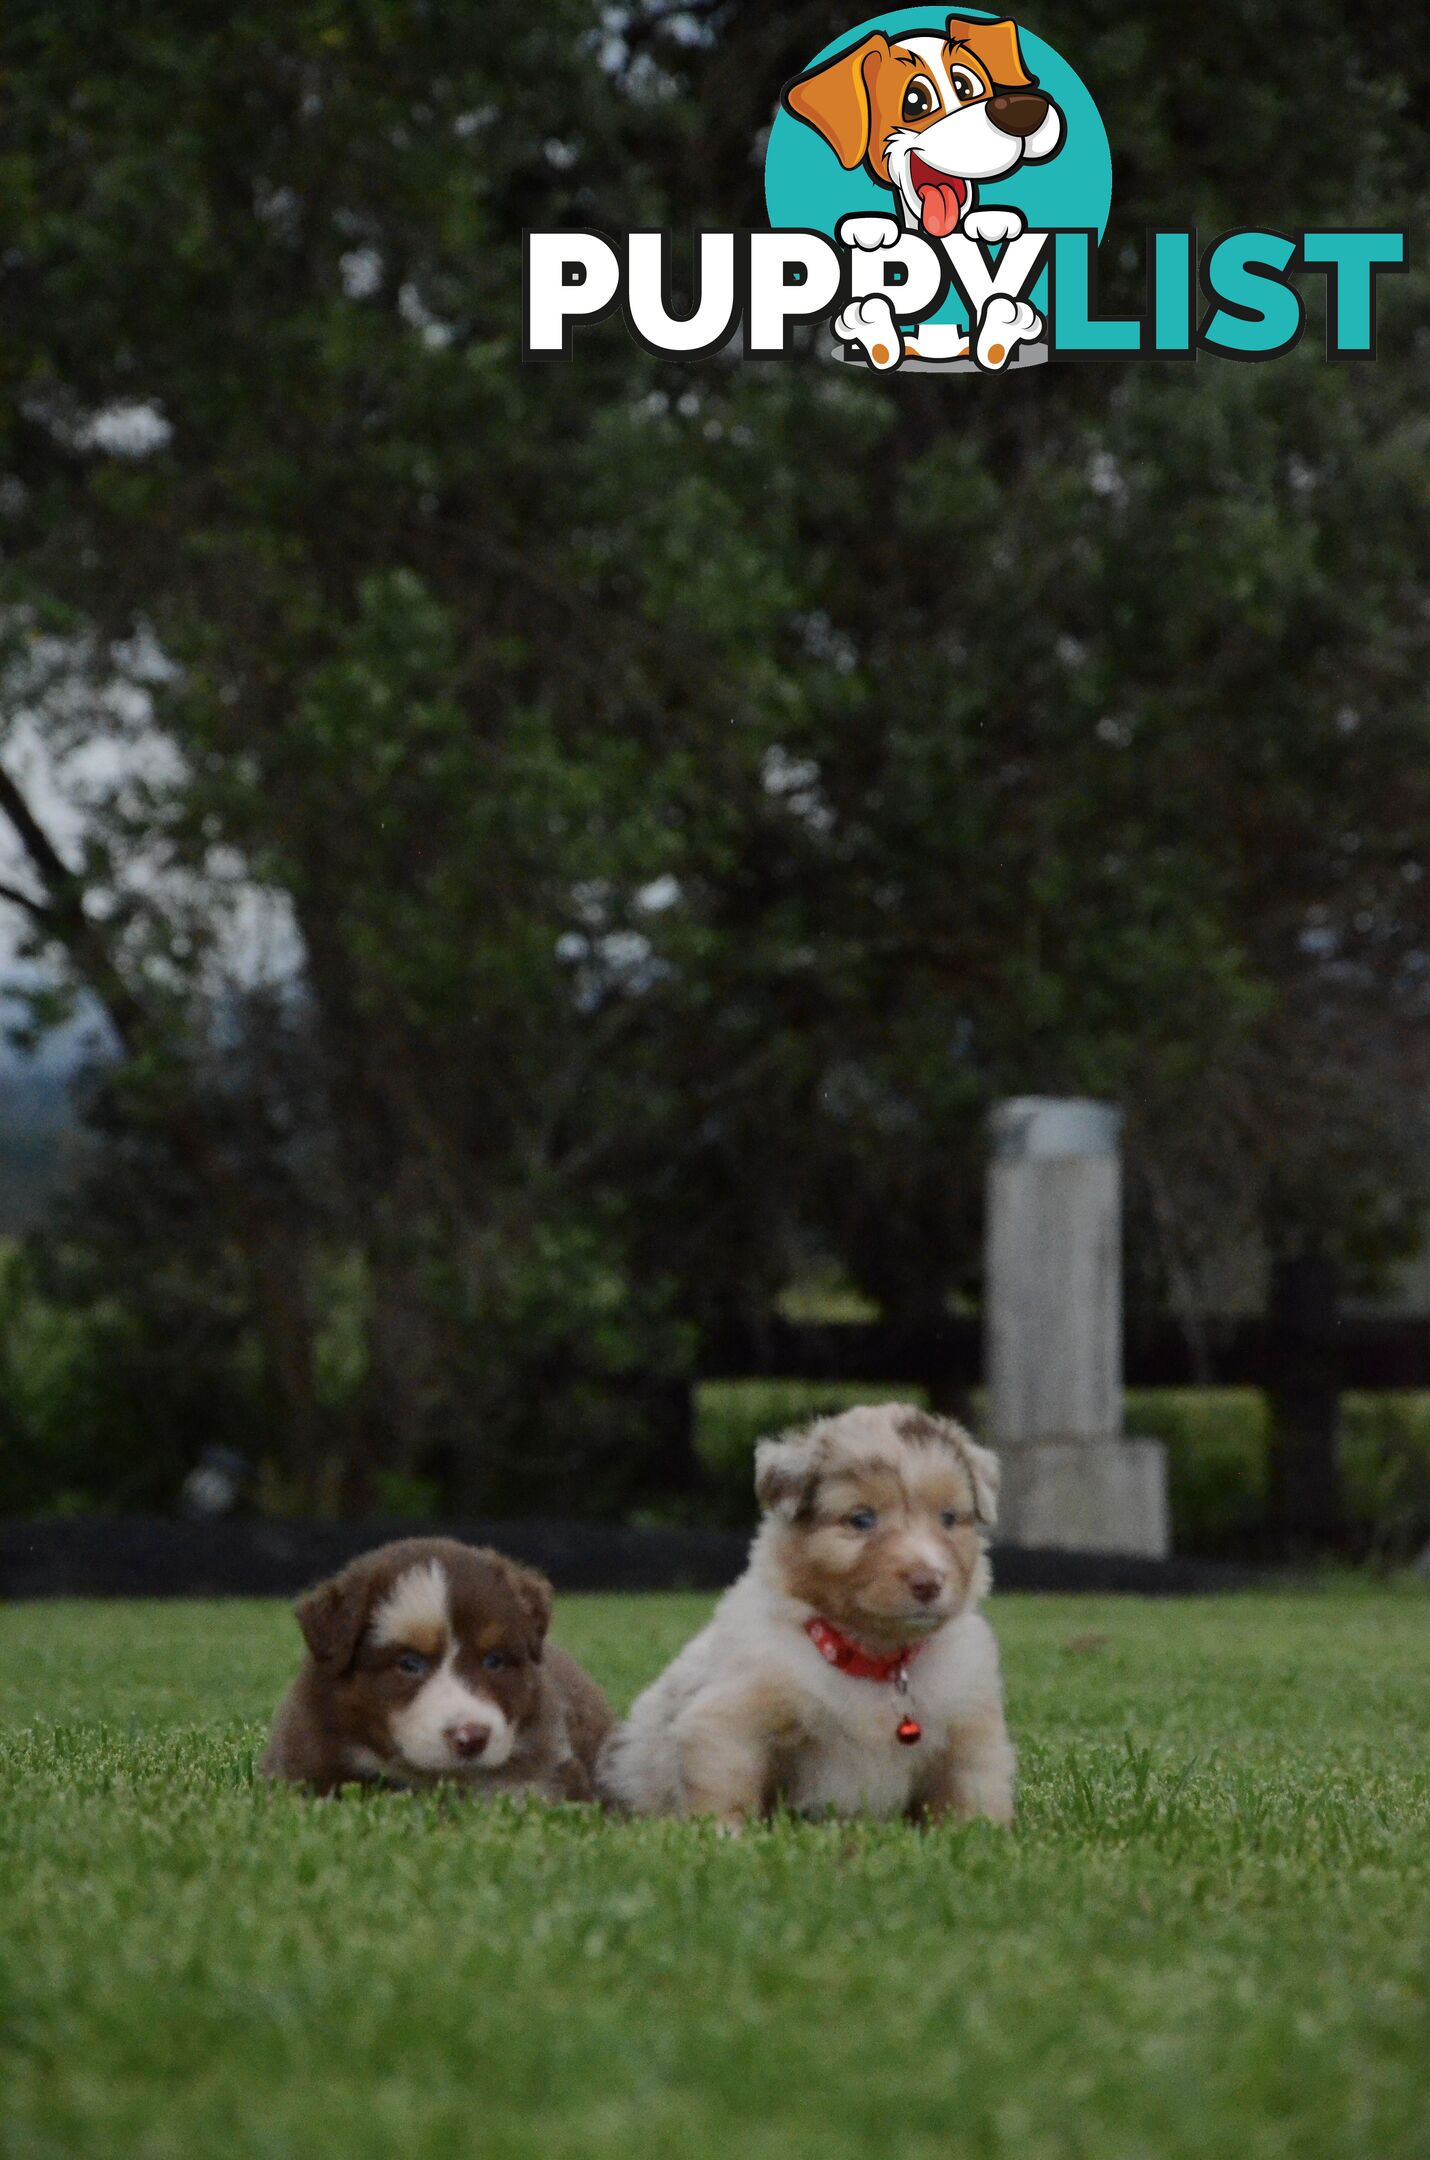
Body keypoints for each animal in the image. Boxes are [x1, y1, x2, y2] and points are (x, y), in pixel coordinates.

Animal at [600, 1399, 1015, 1823]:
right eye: (862, 1519)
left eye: (948, 1518)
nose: (929, 1582)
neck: (873, 1660)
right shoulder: (731, 1719)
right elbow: (726, 1788)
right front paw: (724, 1832)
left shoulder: (969, 1728)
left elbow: (971, 1791)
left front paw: (980, 1829)